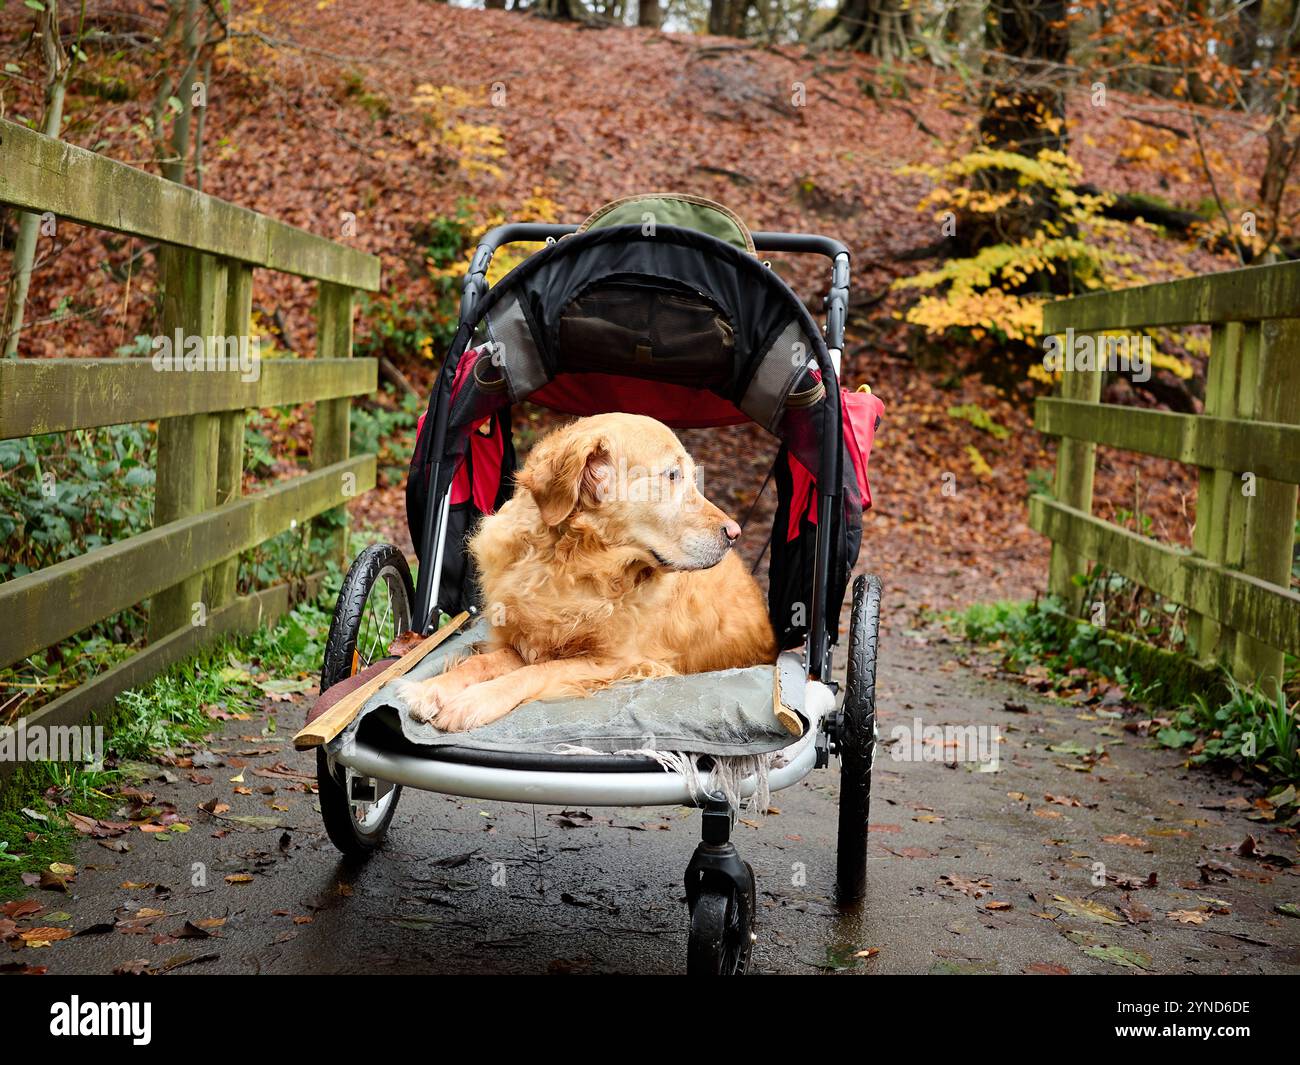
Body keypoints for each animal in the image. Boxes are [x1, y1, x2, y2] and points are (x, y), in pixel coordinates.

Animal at [400, 413, 774, 733]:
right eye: (672, 475)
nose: (734, 533)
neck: (573, 562)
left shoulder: (613, 662)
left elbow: (534, 673)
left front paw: (474, 701)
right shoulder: (527, 642)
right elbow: (485, 663)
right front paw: (433, 688)